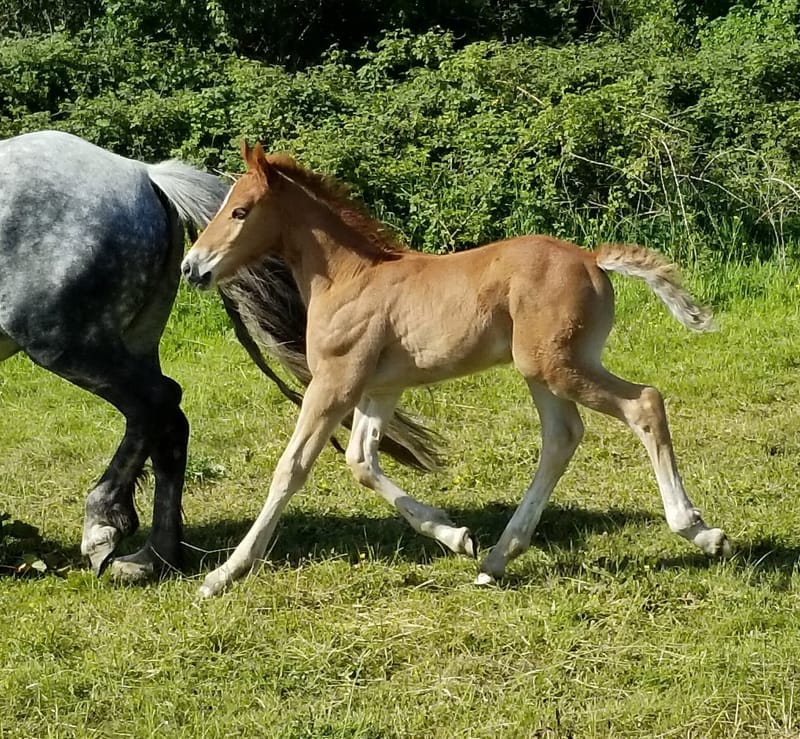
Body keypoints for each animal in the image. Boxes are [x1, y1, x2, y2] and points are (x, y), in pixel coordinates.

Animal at [0, 130, 443, 581]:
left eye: (241, 212)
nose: (194, 267)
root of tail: (143, 172)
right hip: (129, 340)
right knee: (163, 420)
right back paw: (153, 556)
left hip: (65, 342)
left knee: (158, 404)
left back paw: (106, 529)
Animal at [181, 140, 731, 597]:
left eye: (240, 210)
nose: (192, 267)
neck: (350, 277)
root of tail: (592, 258)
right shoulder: (379, 389)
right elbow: (361, 462)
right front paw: (456, 535)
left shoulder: (336, 382)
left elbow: (291, 468)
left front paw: (223, 574)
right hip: (545, 369)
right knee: (562, 436)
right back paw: (495, 558)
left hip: (557, 365)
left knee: (644, 404)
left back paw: (701, 532)